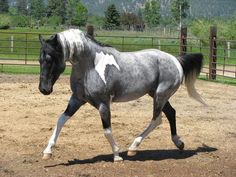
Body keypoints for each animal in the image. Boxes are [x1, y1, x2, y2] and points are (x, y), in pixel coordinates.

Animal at [38, 29, 205, 162]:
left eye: (50, 59)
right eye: (40, 60)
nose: (44, 89)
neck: (90, 66)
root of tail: (176, 60)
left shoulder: (103, 104)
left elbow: (107, 130)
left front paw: (117, 155)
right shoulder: (77, 99)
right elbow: (61, 120)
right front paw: (47, 151)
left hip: (160, 95)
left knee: (157, 120)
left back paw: (133, 148)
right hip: (156, 94)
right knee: (170, 113)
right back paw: (179, 143)